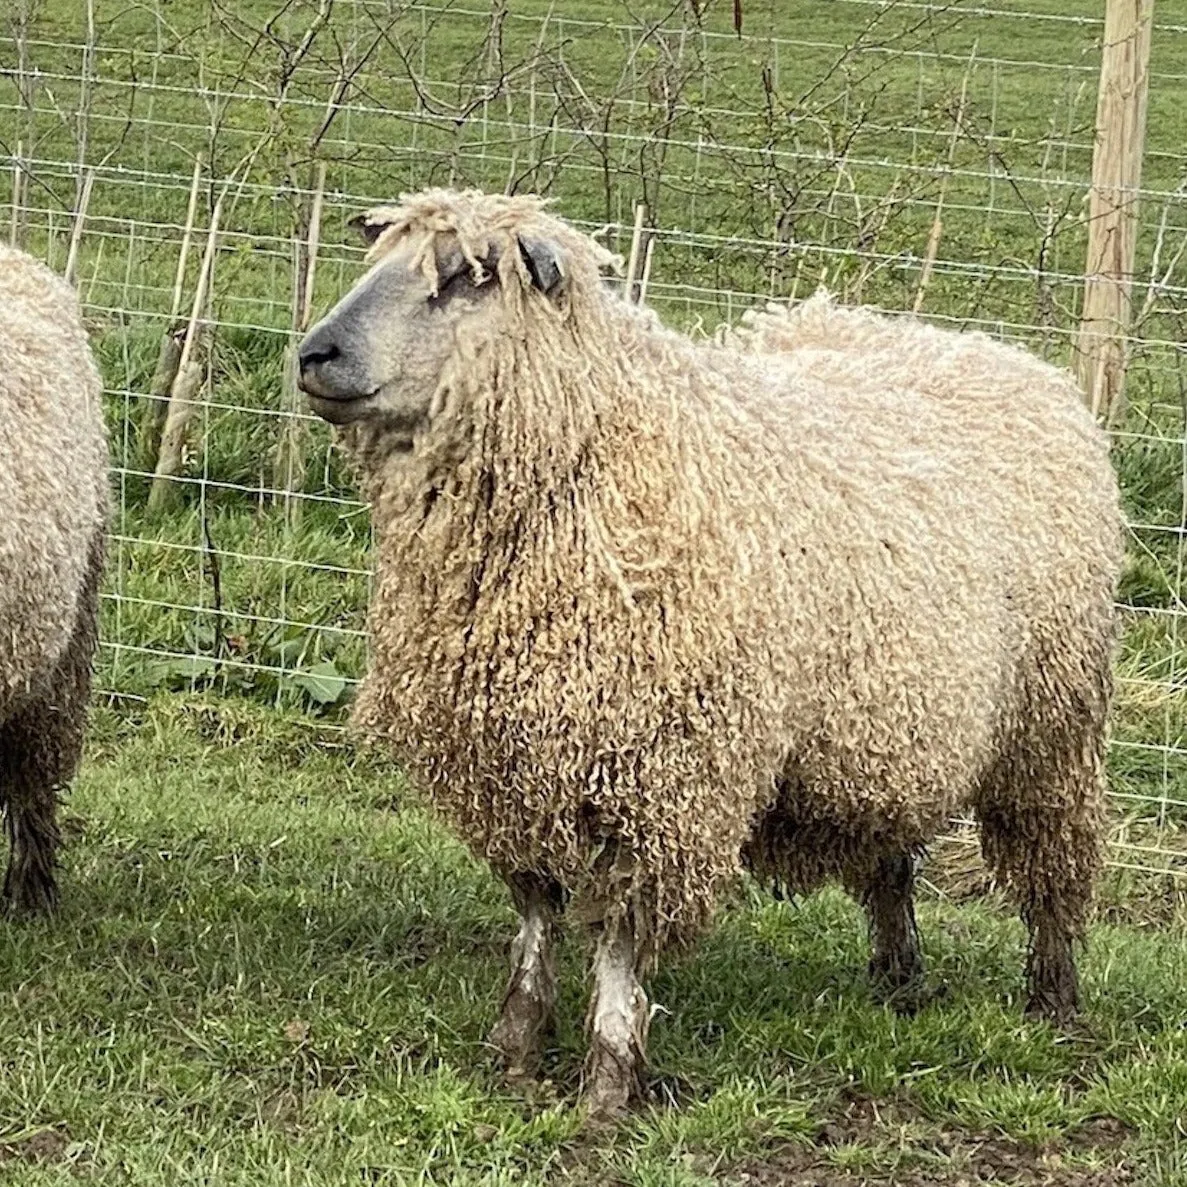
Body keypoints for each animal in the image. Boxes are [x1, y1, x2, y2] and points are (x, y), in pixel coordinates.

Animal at [296, 187, 1120, 1120]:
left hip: (1049, 725)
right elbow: (536, 903)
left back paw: (1052, 999)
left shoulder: (667, 774)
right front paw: (515, 1042)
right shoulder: (515, 753)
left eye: (466, 277)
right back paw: (897, 979)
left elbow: (622, 932)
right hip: (885, 724)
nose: (314, 354)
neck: (597, 460)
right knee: (889, 857)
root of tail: (997, 354)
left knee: (1051, 866)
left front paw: (607, 1076)